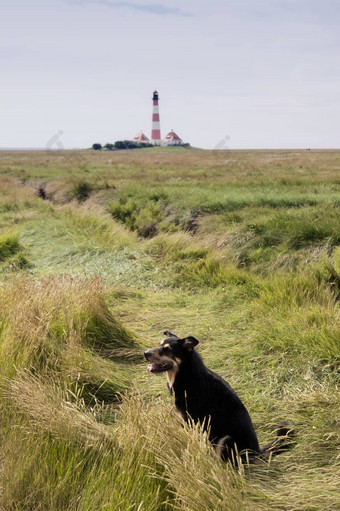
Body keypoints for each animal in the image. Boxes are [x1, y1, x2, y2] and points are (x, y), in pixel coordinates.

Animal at [145, 332, 294, 464]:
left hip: (226, 440)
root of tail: (257, 453)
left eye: (167, 349)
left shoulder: (196, 425)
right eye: (159, 344)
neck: (187, 375)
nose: (145, 353)